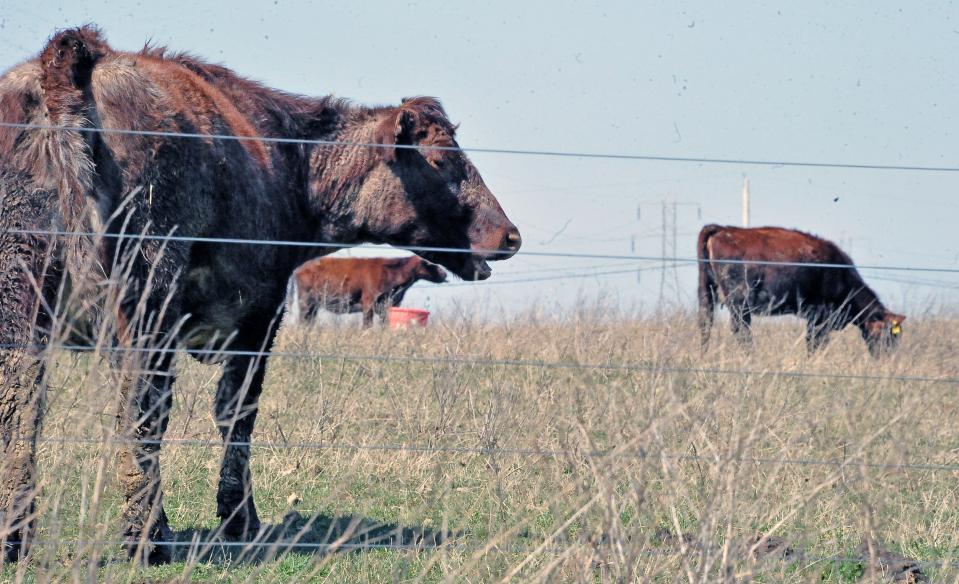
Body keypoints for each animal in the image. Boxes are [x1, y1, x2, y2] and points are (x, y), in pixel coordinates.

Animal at [286, 256, 448, 328]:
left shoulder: (386, 306)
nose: (444, 272)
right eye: (429, 264)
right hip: (305, 302)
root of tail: (299, 268)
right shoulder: (368, 302)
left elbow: (384, 325)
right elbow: (367, 325)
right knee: (302, 321)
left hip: (313, 306)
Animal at [696, 225, 908, 356]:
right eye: (890, 335)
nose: (888, 358)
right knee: (741, 331)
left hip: (708, 294)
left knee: (706, 324)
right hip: (739, 304)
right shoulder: (820, 318)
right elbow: (814, 343)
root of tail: (723, 229)